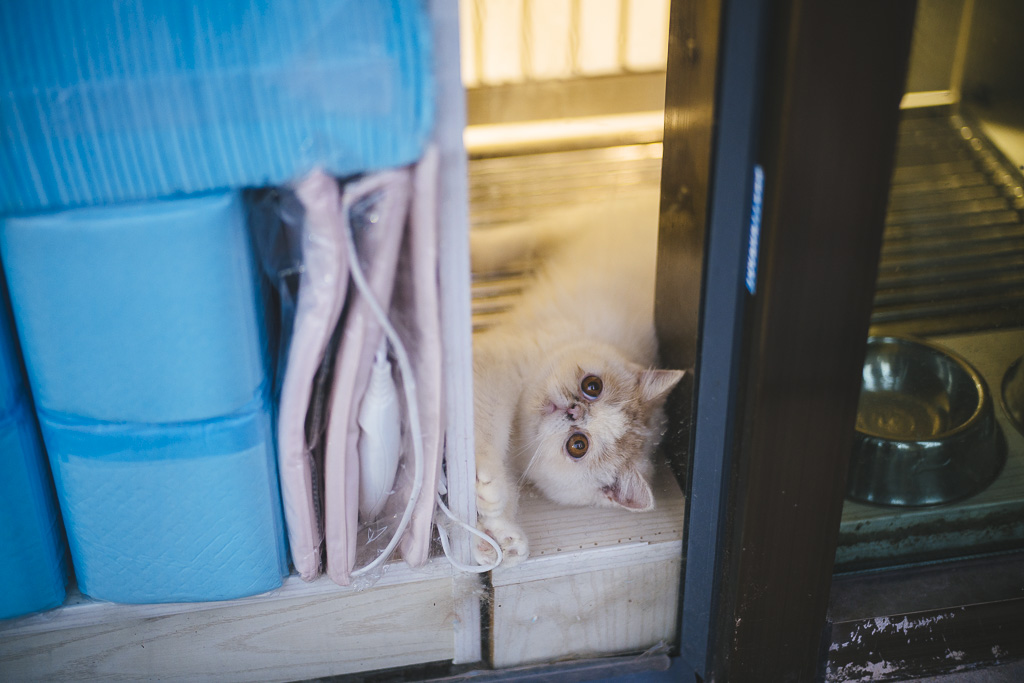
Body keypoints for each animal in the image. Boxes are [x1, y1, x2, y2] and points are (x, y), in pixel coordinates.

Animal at [471, 187, 685, 566]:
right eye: (592, 386)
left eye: (578, 445)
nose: (572, 410)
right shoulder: (498, 365)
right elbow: (487, 429)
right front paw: (490, 485)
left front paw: (500, 537)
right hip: (571, 226)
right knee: (517, 236)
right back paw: (471, 244)